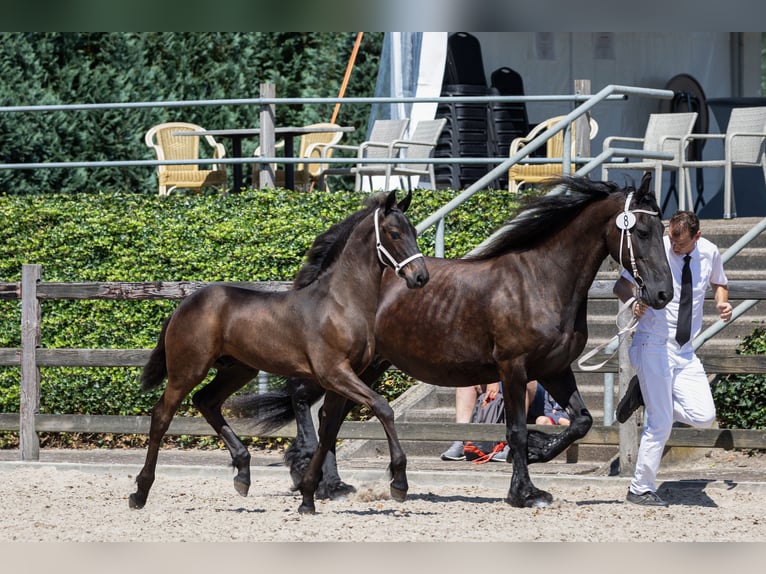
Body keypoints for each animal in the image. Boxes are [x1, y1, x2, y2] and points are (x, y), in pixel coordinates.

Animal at [232, 173, 672, 510]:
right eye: (643, 231)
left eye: (664, 230)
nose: (663, 294)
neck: (540, 281)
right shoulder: (514, 368)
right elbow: (516, 430)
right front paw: (524, 492)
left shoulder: (554, 368)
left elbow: (581, 421)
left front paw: (539, 453)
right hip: (348, 364)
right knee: (305, 398)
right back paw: (307, 471)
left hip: (365, 366)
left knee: (330, 414)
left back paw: (329, 484)